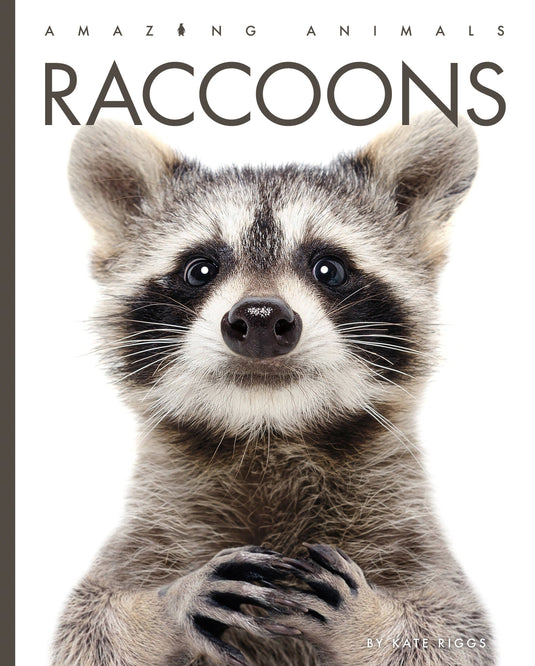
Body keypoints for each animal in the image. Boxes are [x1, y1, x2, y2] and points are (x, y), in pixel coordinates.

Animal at [52, 113, 494, 666]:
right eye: (200, 269)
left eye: (329, 268)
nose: (261, 319)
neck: (267, 433)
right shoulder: (146, 537)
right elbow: (87, 624)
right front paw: (163, 607)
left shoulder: (412, 540)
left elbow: (455, 633)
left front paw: (368, 619)